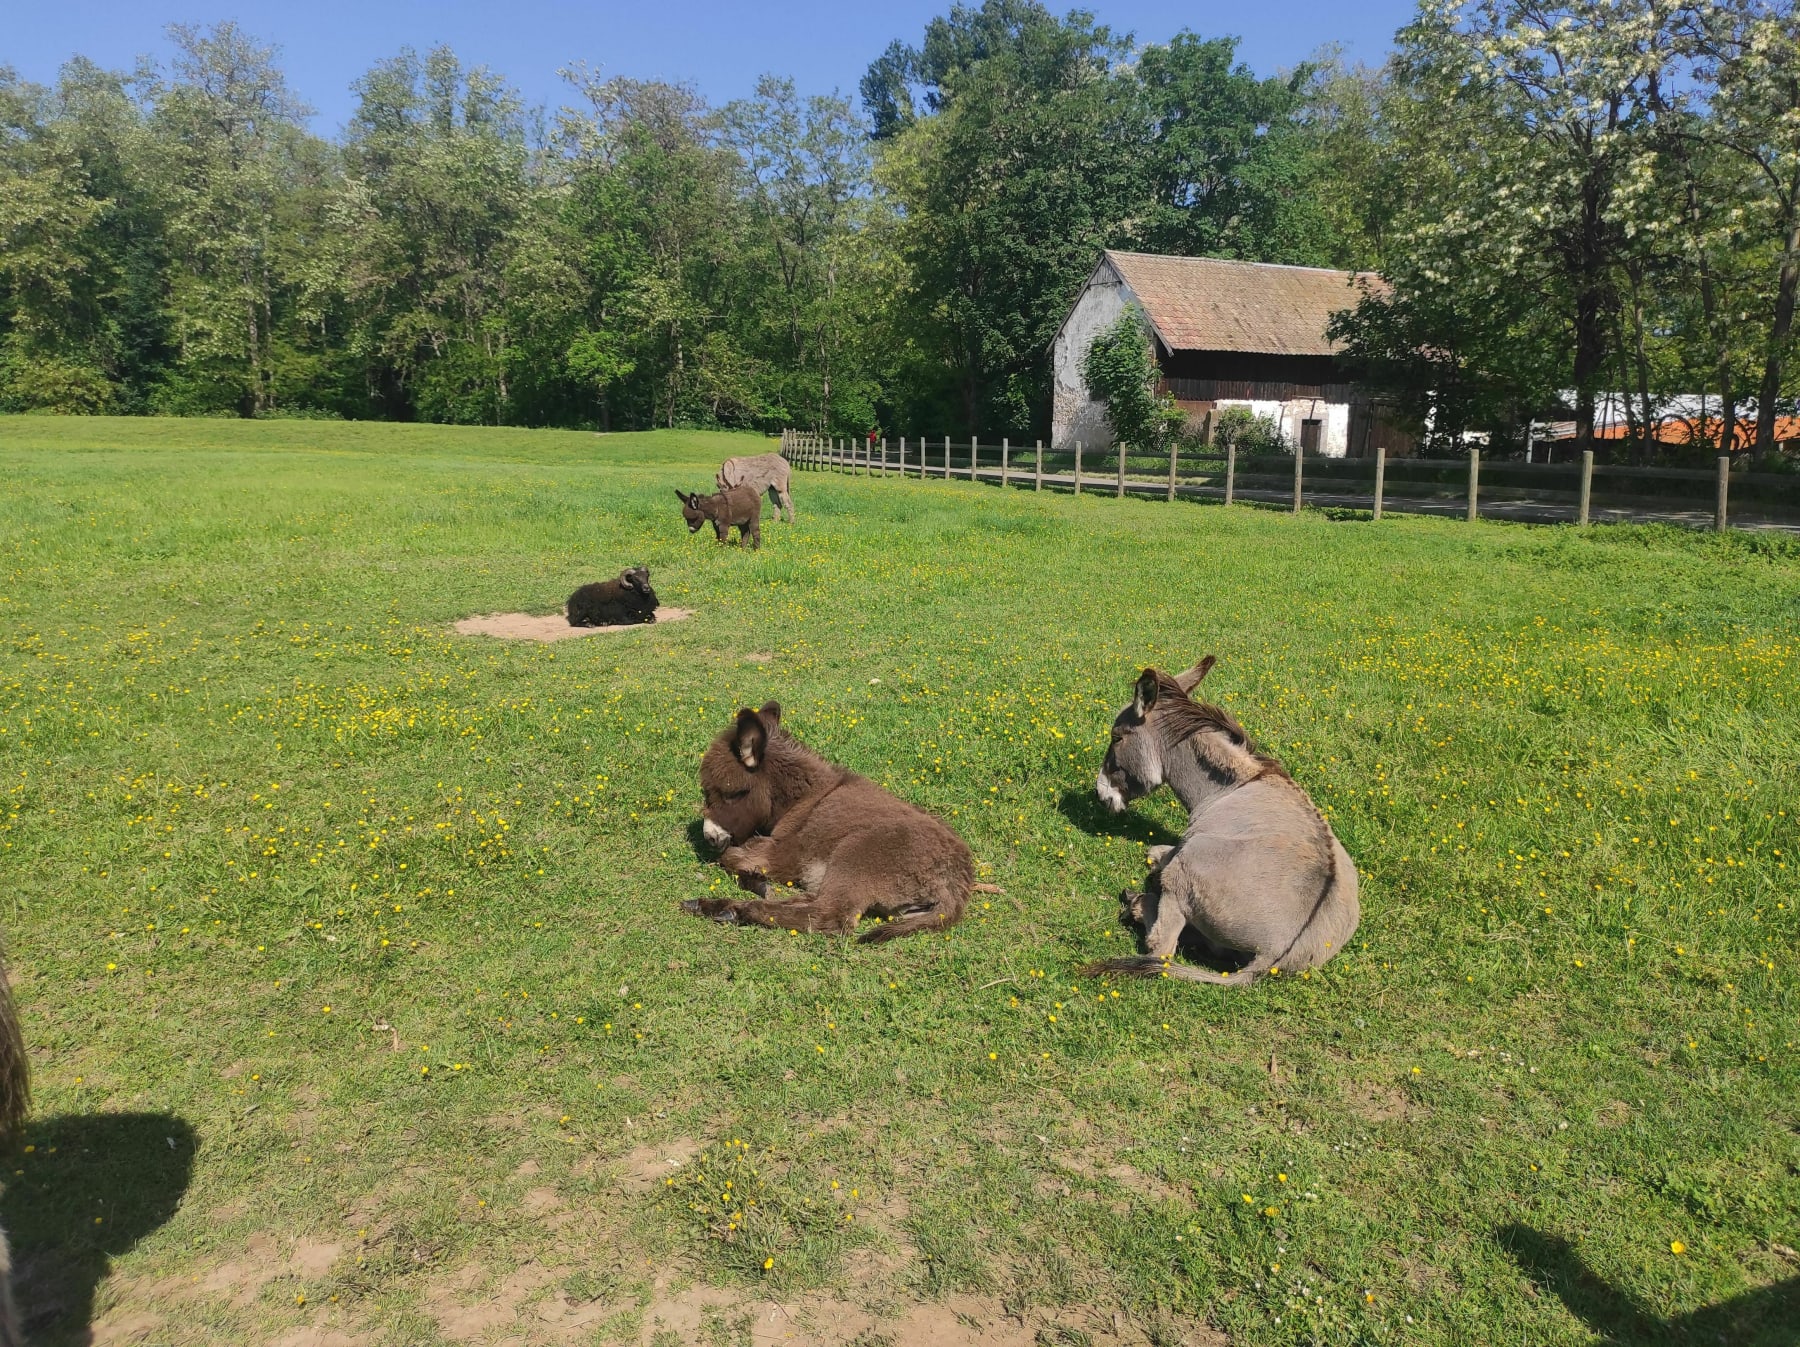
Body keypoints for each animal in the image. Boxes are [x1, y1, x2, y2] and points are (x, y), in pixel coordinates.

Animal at [684, 698, 972, 943]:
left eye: (733, 794)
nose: (710, 837)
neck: (806, 797)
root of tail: (955, 882)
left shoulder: (785, 854)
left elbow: (729, 857)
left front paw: (757, 881)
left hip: (855, 855)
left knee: (828, 915)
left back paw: (727, 908)